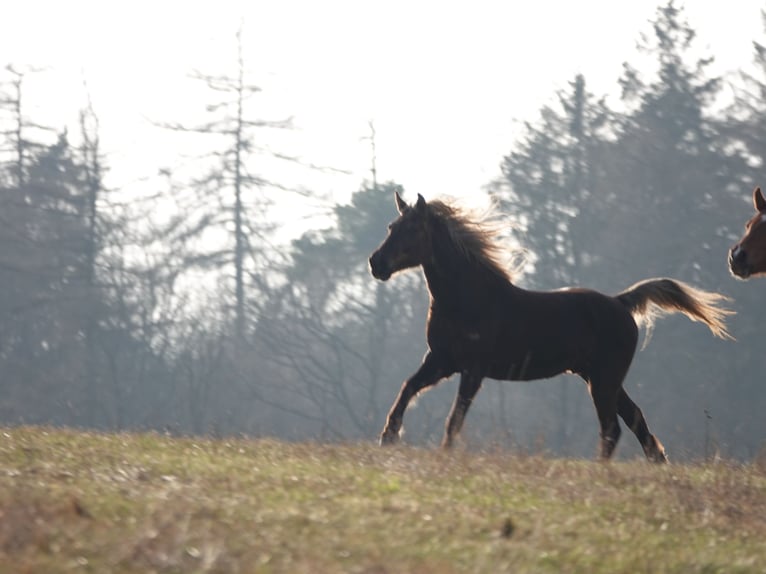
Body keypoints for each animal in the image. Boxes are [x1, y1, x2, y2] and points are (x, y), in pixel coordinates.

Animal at [368, 192, 733, 462]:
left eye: (411, 230)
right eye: (391, 226)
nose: (376, 264)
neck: (468, 299)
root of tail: (620, 302)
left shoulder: (472, 370)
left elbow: (454, 419)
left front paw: (442, 453)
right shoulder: (441, 360)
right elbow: (408, 388)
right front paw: (388, 436)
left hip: (603, 380)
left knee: (613, 428)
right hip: (599, 377)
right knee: (634, 421)